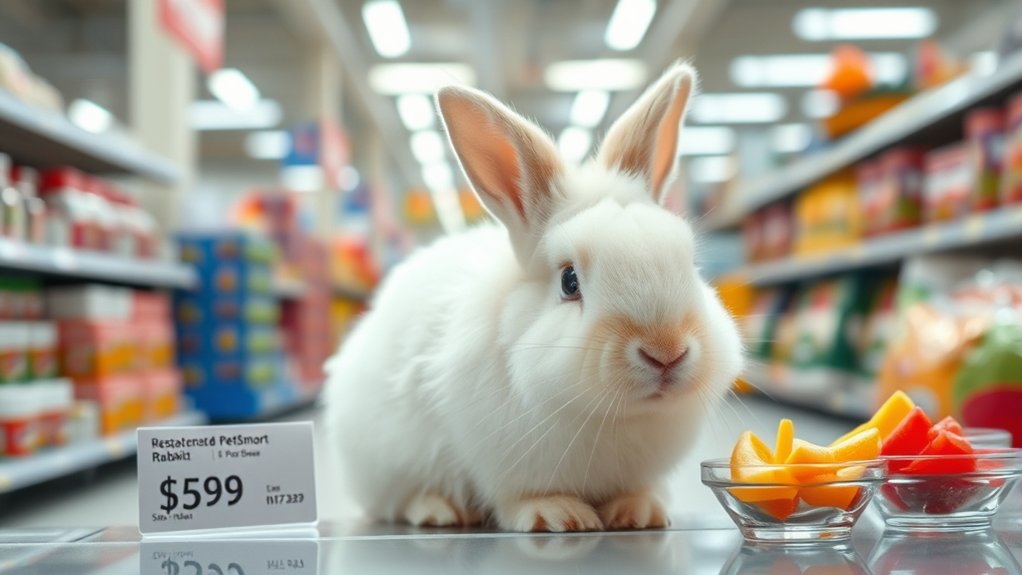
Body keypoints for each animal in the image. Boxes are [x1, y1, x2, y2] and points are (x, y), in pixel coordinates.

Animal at [323, 61, 744, 532]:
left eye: (689, 262)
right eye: (569, 281)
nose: (666, 351)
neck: (613, 414)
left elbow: (634, 491)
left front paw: (639, 512)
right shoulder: (503, 466)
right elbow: (521, 497)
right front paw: (559, 515)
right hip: (384, 463)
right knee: (396, 500)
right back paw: (438, 510)